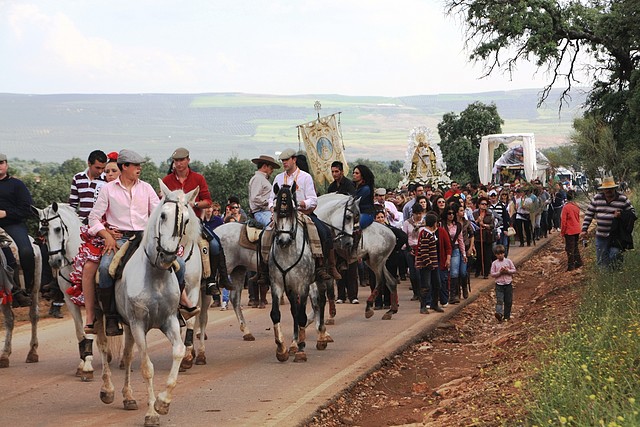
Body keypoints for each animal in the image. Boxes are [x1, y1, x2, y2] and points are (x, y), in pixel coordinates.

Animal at [96, 181, 198, 427]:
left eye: (186, 220)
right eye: (162, 215)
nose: (168, 256)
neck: (155, 275)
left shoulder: (170, 321)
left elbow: (179, 352)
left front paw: (163, 402)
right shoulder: (139, 325)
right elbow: (147, 368)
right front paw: (152, 413)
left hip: (128, 326)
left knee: (127, 356)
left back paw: (129, 397)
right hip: (102, 317)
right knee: (103, 347)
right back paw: (107, 390)